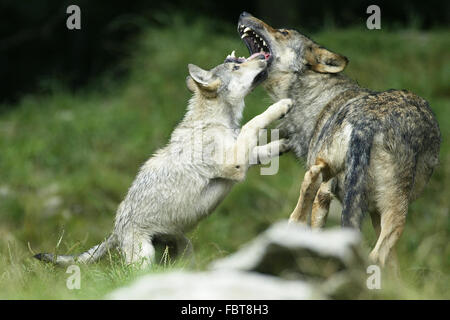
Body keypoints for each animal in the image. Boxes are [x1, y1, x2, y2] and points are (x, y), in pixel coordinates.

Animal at [36, 52, 296, 266]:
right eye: (235, 67)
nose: (263, 57)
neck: (214, 121)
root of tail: (116, 230)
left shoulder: (241, 158)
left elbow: (263, 148)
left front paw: (285, 144)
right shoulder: (234, 164)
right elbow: (255, 121)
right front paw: (282, 105)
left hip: (185, 250)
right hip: (145, 257)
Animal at [237, 12, 442, 266]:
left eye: (283, 32)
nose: (244, 13)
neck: (316, 98)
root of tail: (368, 123)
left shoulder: (336, 198)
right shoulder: (362, 208)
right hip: (389, 208)